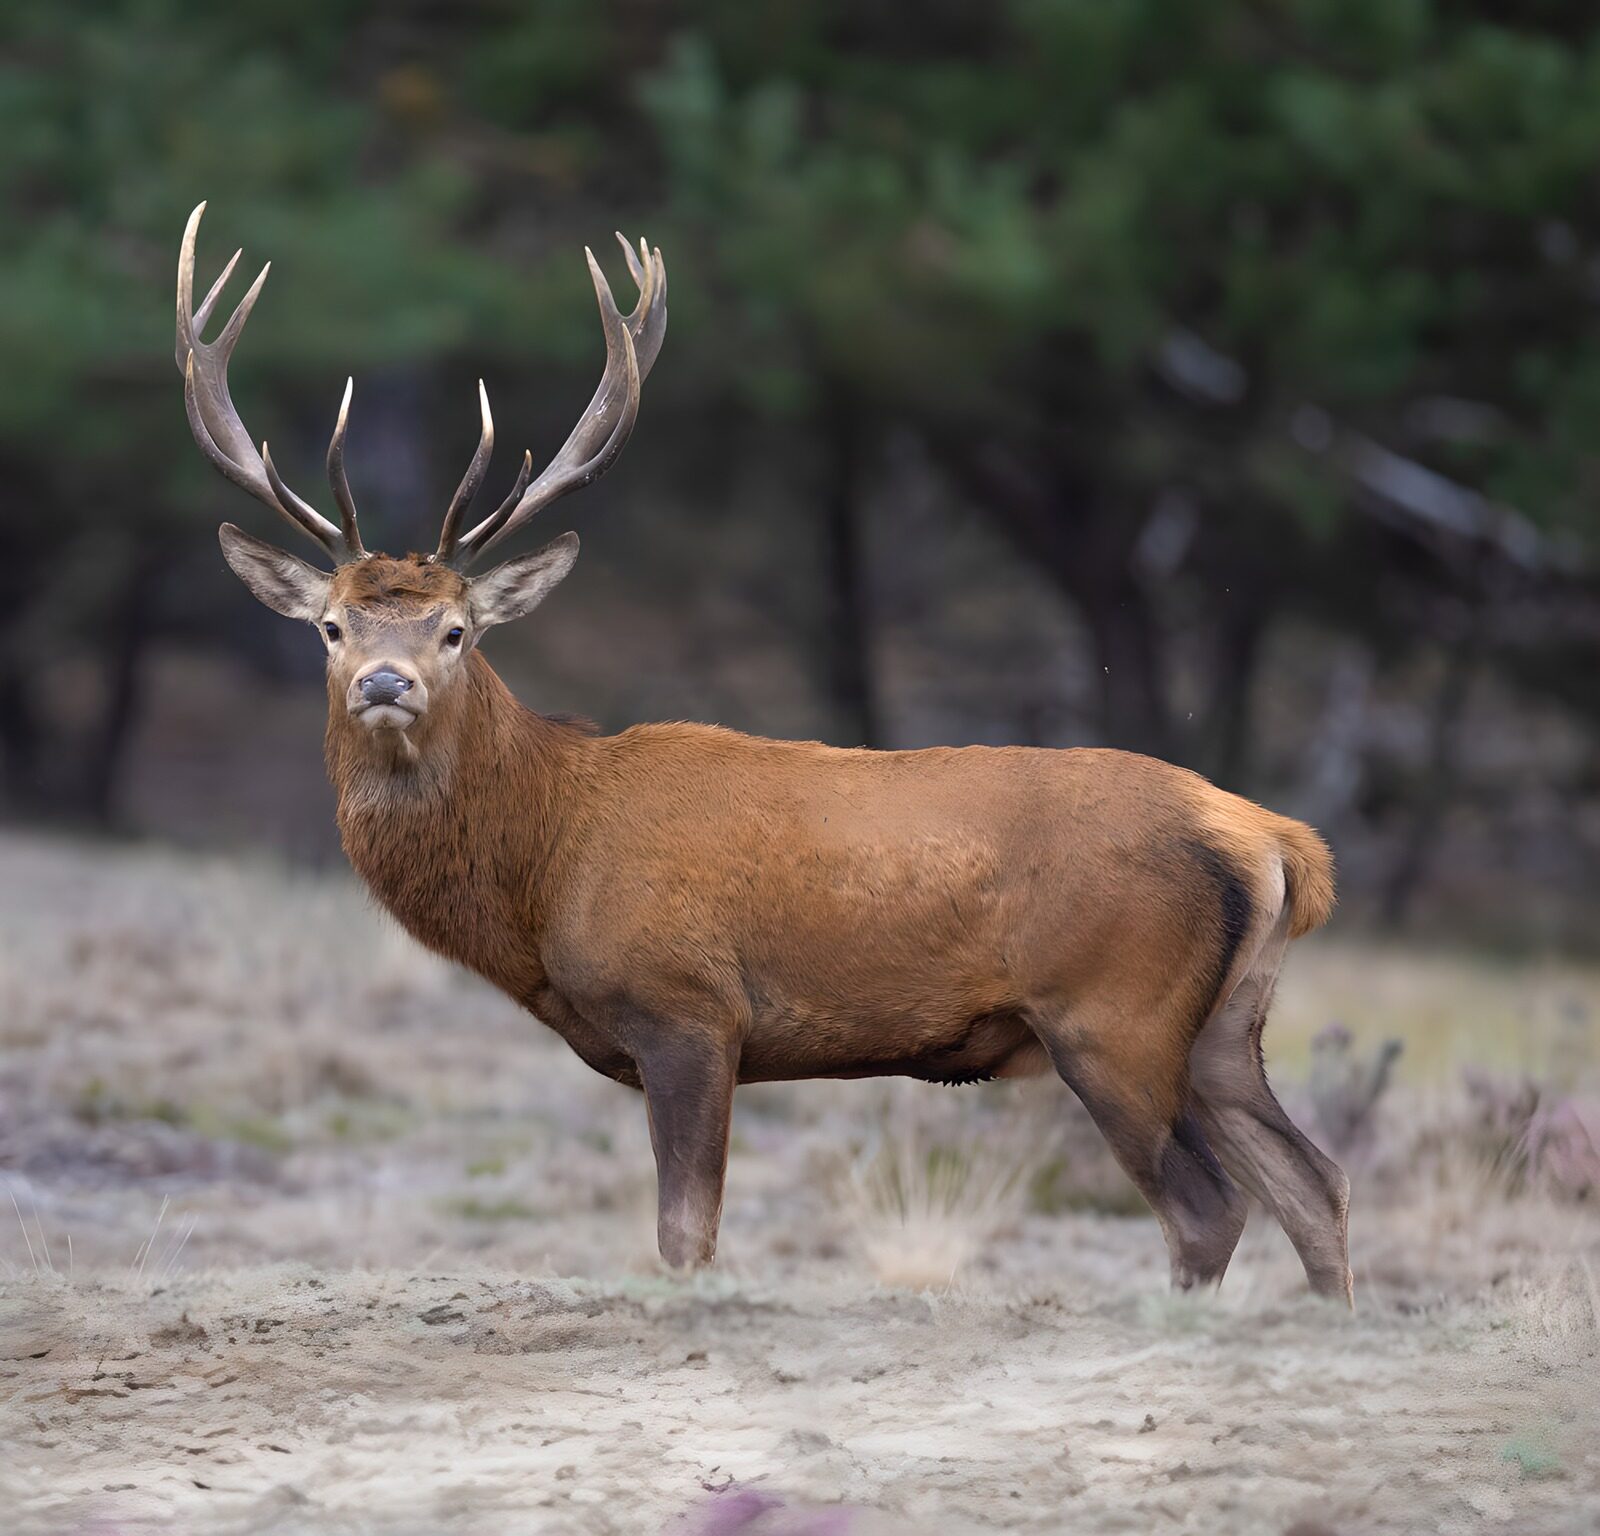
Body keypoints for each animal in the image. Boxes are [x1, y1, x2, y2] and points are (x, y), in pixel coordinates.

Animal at [176, 202, 1351, 1301]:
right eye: (331, 627)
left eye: (457, 630)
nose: (385, 683)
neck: (548, 862)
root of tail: (1271, 837)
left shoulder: (690, 1010)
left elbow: (683, 1235)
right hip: (1223, 1029)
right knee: (1317, 1182)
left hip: (1114, 1016)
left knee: (1210, 1206)